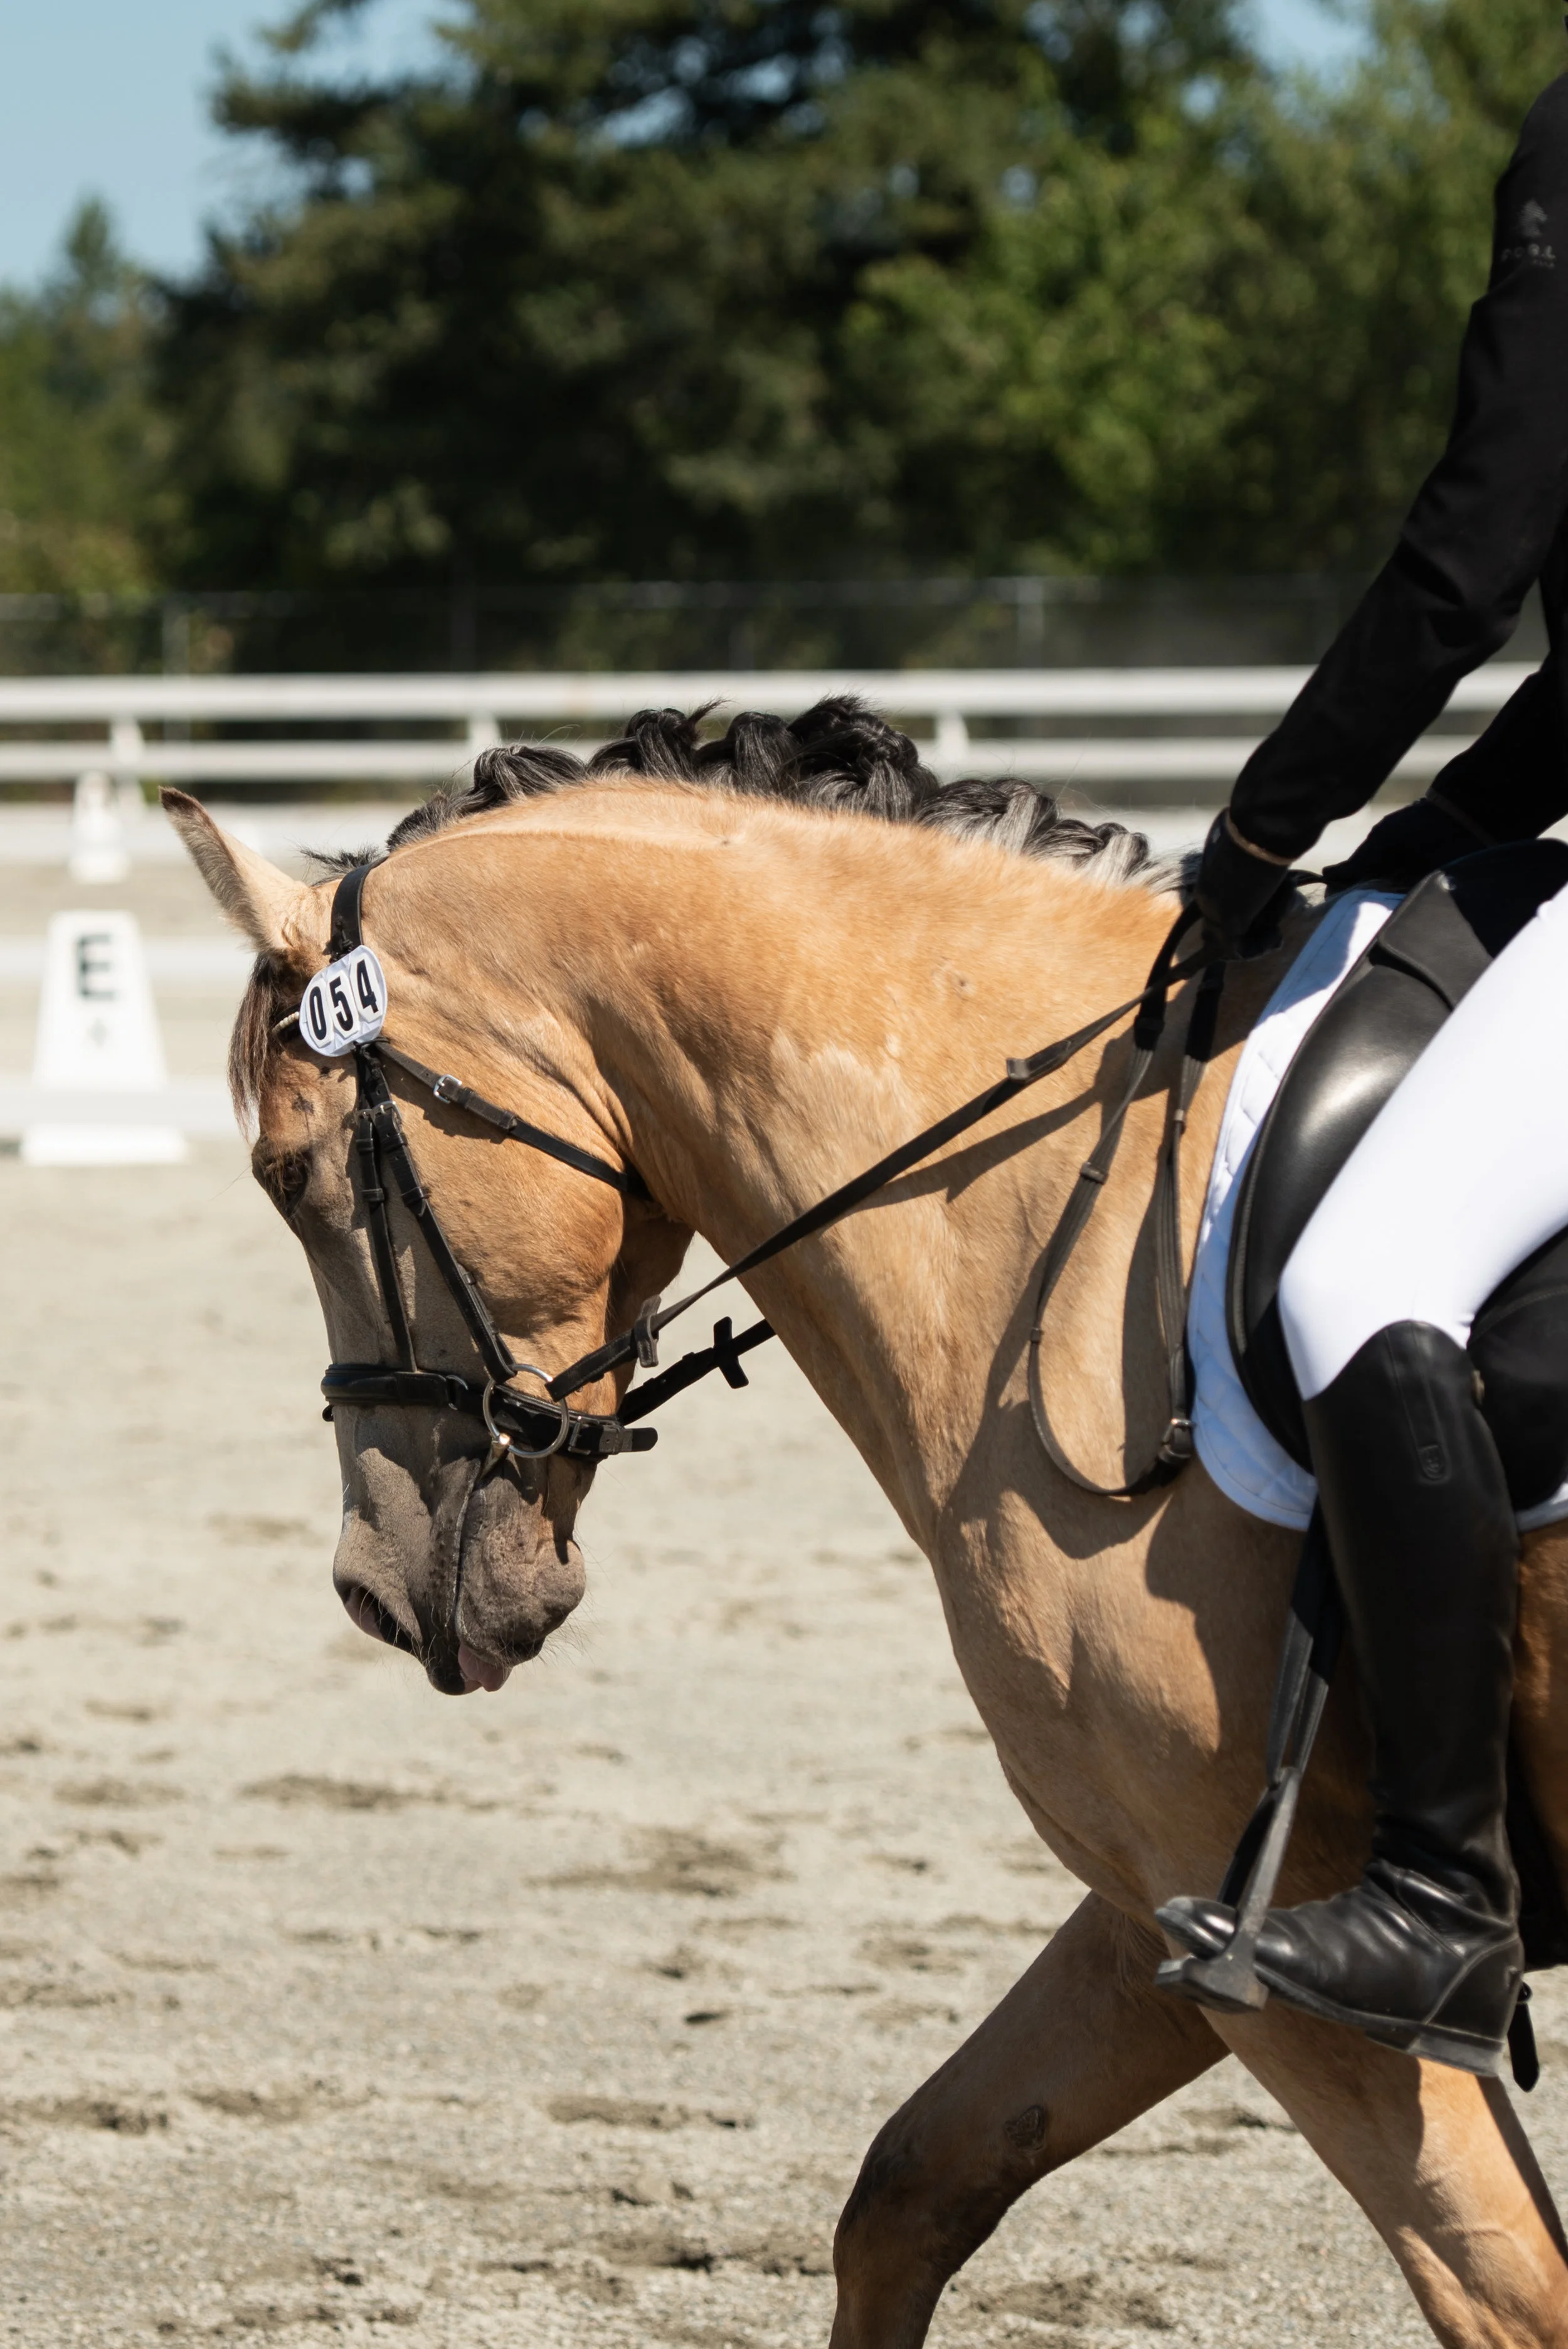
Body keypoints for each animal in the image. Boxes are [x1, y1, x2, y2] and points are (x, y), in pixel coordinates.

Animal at [162, 701, 1568, 2348]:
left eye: (291, 1174)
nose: (372, 1585)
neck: (1065, 1223)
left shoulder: (1285, 1944)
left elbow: (1509, 2291)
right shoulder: (1157, 1901)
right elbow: (910, 2188)